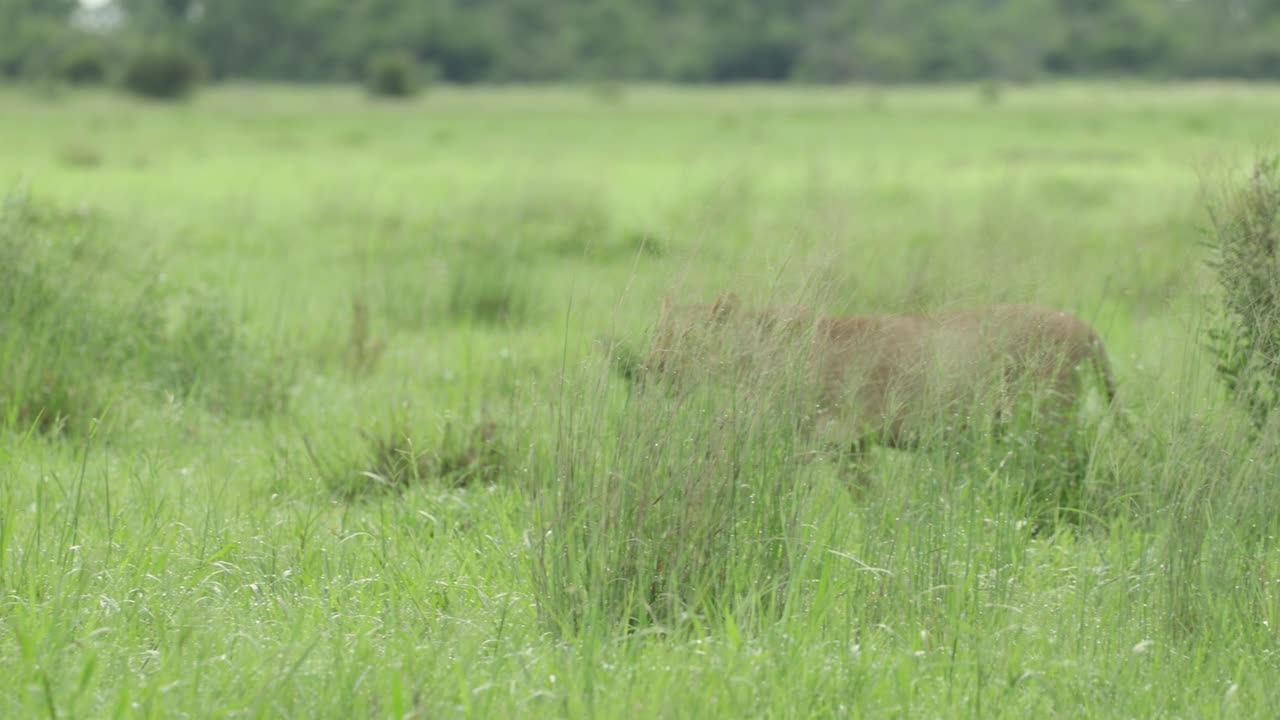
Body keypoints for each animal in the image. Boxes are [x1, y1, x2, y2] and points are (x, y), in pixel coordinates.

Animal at [644, 292, 1116, 455]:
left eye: (685, 338)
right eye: (658, 332)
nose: (653, 367)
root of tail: (1086, 326)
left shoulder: (839, 440)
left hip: (1047, 416)